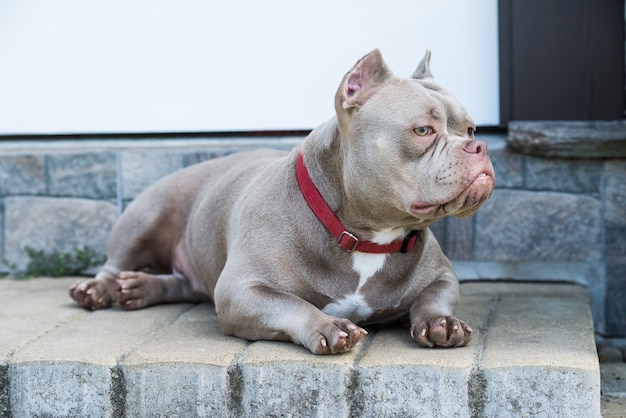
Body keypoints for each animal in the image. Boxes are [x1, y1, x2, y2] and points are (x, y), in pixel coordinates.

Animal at [69, 50, 492, 354]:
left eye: (471, 129)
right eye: (422, 130)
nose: (479, 146)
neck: (364, 235)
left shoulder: (443, 276)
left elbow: (432, 297)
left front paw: (440, 322)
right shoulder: (242, 289)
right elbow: (292, 304)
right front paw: (327, 325)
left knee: (183, 284)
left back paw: (139, 288)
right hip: (147, 214)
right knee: (113, 264)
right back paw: (99, 289)